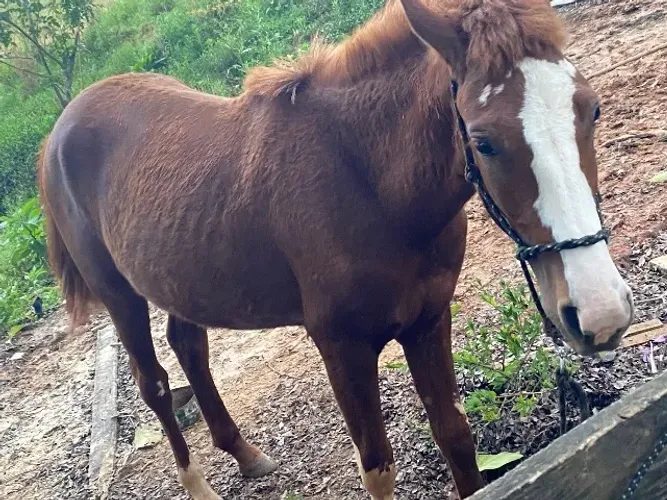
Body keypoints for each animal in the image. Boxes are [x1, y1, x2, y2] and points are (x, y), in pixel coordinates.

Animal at [37, 0, 634, 498]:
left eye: (593, 110)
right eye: (483, 141)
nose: (601, 312)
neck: (368, 185)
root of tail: (60, 129)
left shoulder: (428, 319)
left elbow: (455, 436)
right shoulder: (341, 347)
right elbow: (378, 467)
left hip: (183, 277)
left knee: (190, 347)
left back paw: (246, 455)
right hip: (118, 294)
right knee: (156, 385)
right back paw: (198, 485)